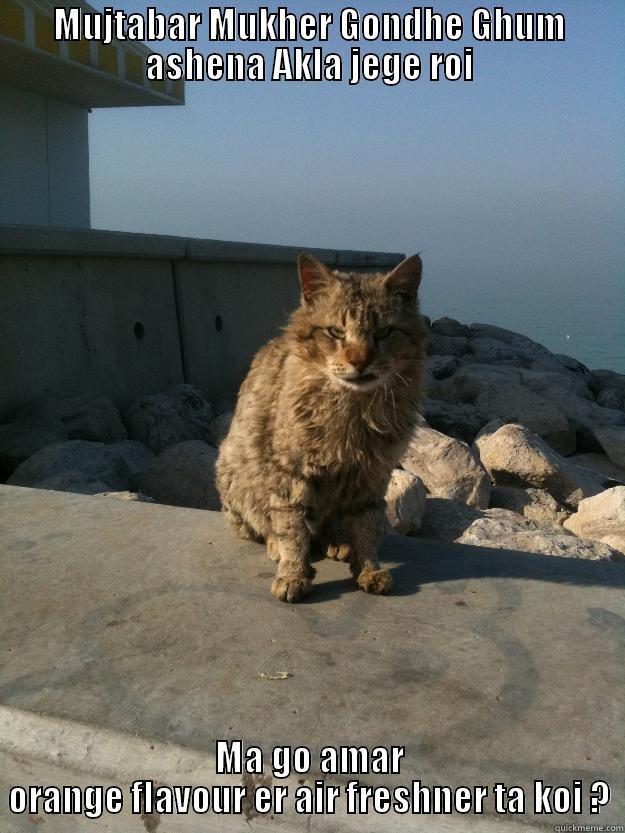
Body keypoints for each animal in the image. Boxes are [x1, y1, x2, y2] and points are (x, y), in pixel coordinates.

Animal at [214, 250, 424, 600]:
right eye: (336, 333)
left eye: (383, 333)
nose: (359, 361)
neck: (353, 411)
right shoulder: (291, 472)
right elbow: (292, 527)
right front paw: (292, 573)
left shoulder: (371, 476)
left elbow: (367, 527)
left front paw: (369, 567)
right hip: (234, 471)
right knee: (266, 526)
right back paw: (277, 546)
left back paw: (337, 542)